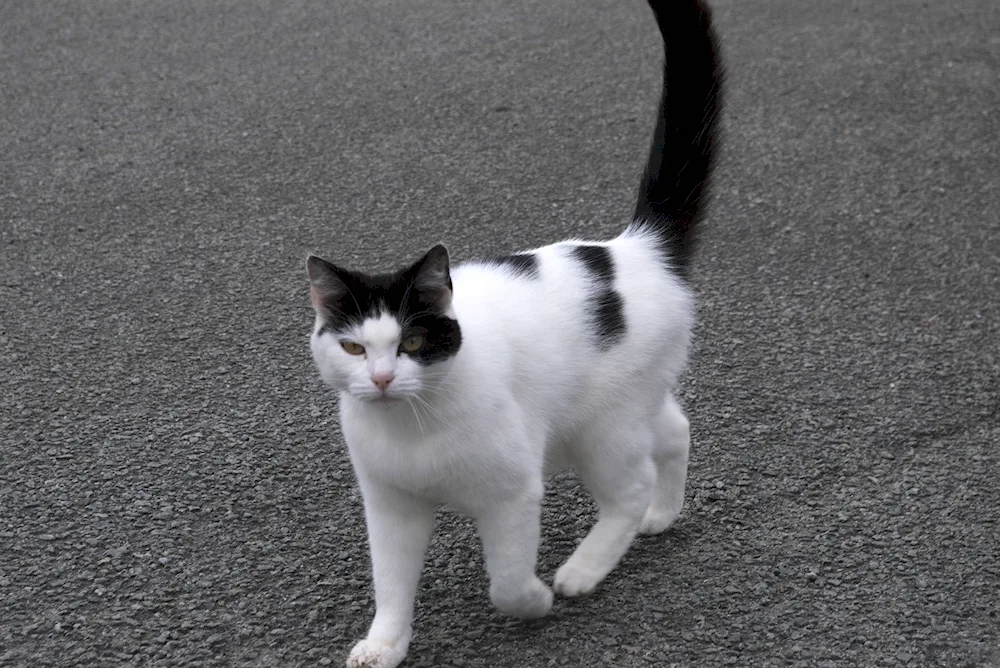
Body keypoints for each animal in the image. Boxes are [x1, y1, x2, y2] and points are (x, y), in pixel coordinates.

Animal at [304, 2, 720, 664]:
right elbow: (391, 582)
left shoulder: (513, 493)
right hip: (617, 407)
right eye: (352, 346)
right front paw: (385, 644)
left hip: (600, 429)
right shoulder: (391, 505)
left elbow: (504, 580)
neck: (414, 426)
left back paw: (584, 569)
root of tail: (636, 249)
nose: (383, 378)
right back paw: (662, 513)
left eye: (412, 344)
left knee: (628, 489)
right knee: (674, 429)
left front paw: (535, 600)